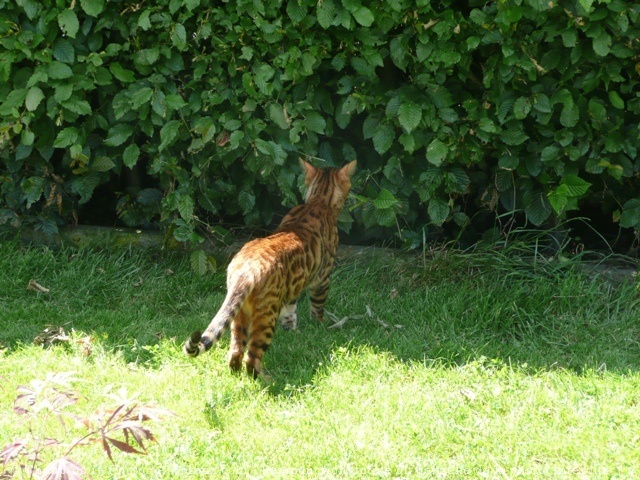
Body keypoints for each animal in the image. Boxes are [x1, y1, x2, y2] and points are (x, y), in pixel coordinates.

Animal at [182, 159, 358, 376]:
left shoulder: (292, 289)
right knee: (251, 357)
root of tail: (245, 271)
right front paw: (320, 325)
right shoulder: (322, 279)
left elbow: (290, 311)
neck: (318, 202)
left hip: (240, 315)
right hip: (266, 316)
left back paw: (236, 373)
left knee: (235, 351)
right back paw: (263, 378)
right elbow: (317, 307)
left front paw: (292, 331)